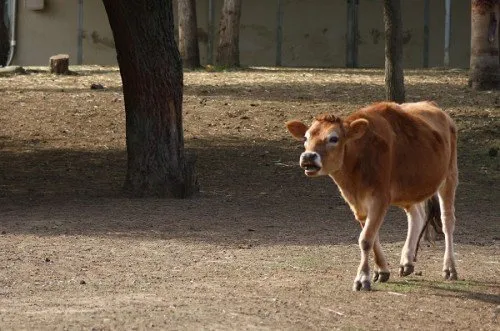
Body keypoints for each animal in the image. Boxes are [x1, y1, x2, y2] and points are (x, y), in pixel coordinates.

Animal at [288, 101, 458, 290]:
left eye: (333, 138)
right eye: (305, 138)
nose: (308, 156)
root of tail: (435, 108)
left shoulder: (380, 198)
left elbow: (366, 239)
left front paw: (362, 278)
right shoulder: (357, 203)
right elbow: (372, 235)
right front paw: (381, 270)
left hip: (449, 176)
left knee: (447, 221)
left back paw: (449, 268)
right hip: (411, 188)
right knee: (417, 216)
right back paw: (407, 261)